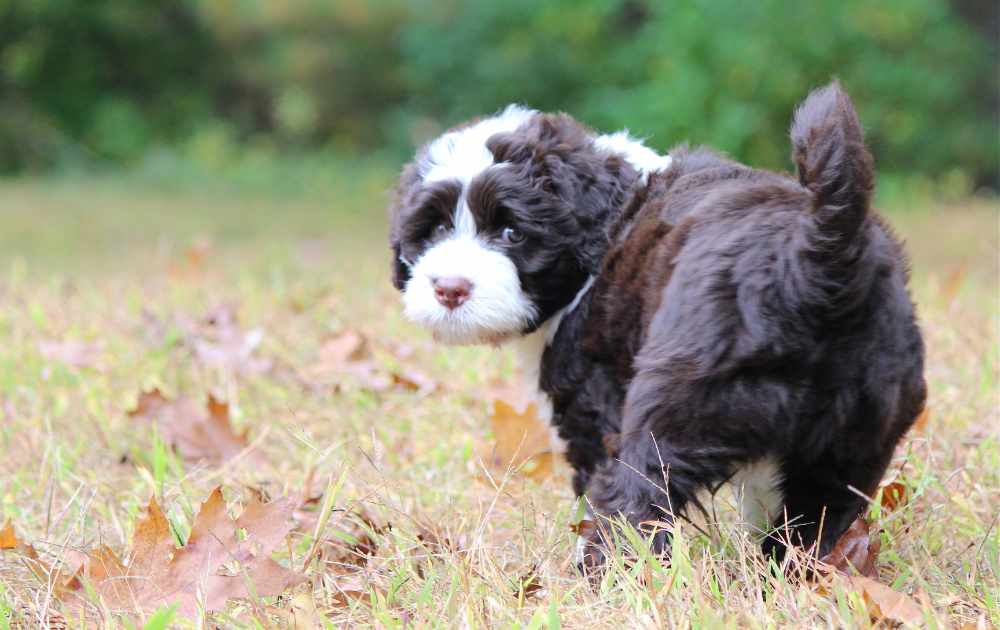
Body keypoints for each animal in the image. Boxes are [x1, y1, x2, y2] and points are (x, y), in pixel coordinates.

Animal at [386, 81, 924, 572]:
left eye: (512, 233)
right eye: (435, 229)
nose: (449, 289)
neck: (610, 219)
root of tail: (815, 254)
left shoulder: (591, 405)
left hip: (676, 403)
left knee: (637, 498)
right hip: (863, 426)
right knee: (819, 514)